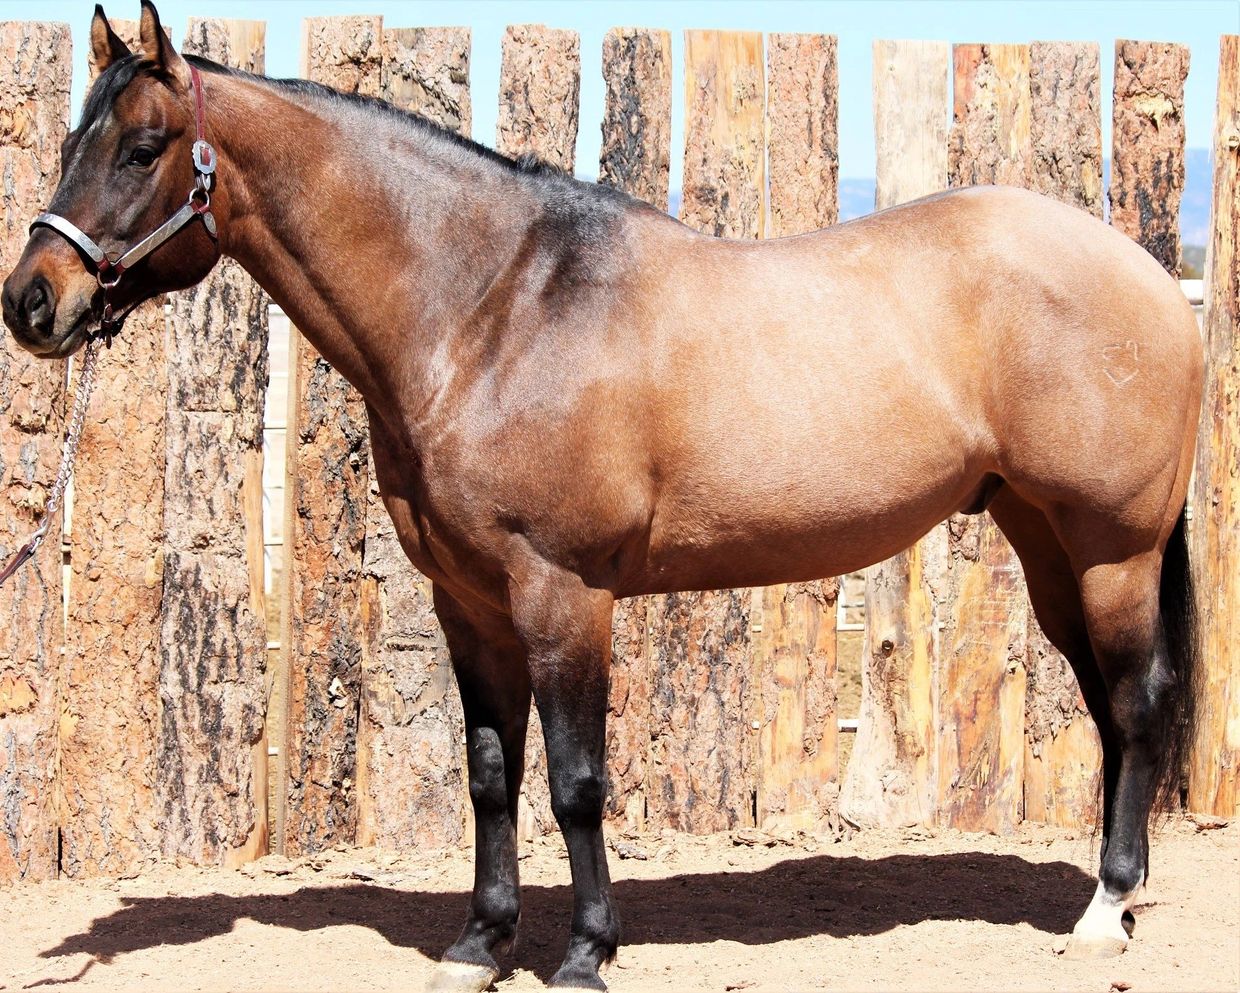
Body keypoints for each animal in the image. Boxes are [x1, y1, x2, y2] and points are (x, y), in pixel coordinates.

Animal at [1, 4, 1203, 989]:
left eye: (143, 149)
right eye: (70, 145)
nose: (32, 302)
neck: (489, 312)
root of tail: (1152, 280)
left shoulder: (561, 593)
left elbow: (577, 779)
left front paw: (585, 952)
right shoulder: (470, 602)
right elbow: (491, 775)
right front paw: (480, 944)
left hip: (1112, 551)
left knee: (1137, 706)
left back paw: (1103, 911)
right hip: (1045, 545)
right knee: (1108, 708)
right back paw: (1120, 897)